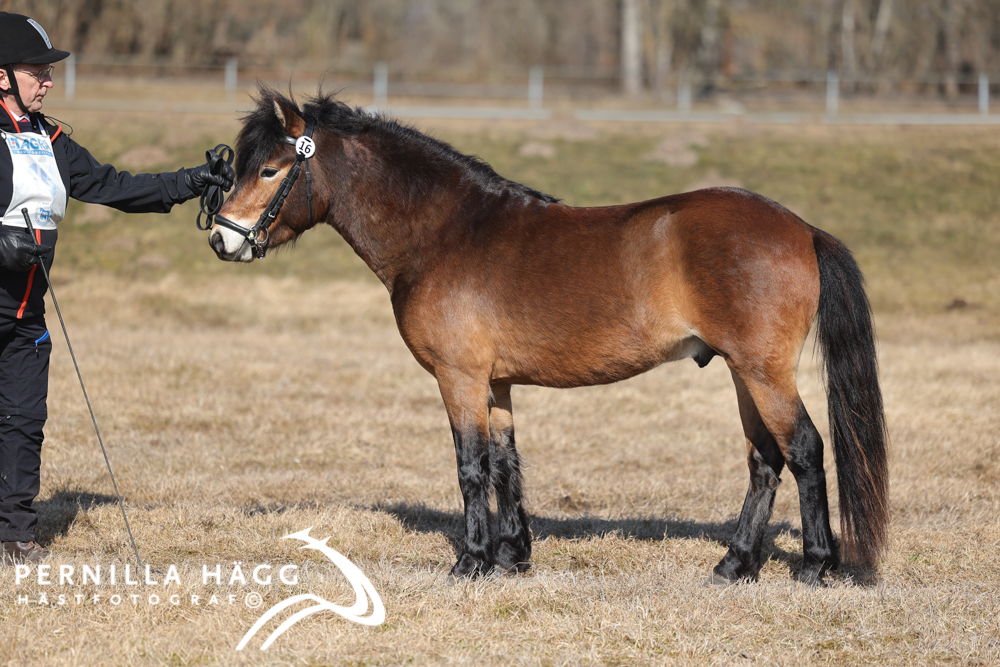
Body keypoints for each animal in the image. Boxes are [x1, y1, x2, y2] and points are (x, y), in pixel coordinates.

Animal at [211, 91, 892, 588]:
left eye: (270, 168)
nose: (223, 238)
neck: (447, 233)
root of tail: (801, 228)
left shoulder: (459, 377)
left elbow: (470, 466)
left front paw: (471, 562)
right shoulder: (497, 383)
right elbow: (506, 464)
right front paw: (513, 557)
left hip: (762, 369)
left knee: (804, 449)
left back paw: (815, 565)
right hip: (741, 370)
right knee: (765, 461)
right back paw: (734, 565)